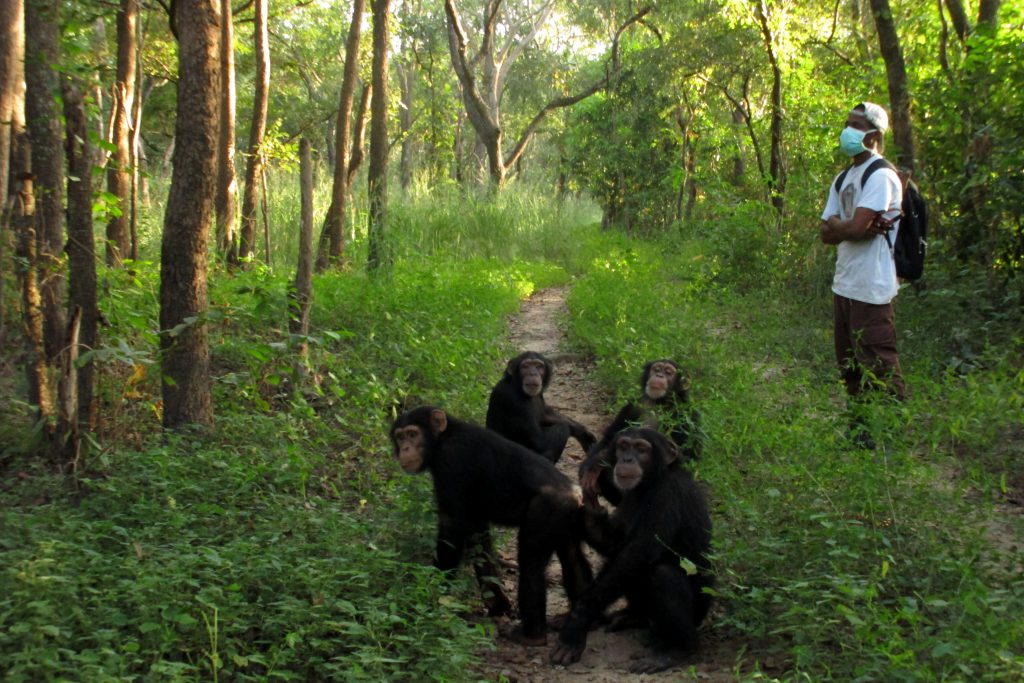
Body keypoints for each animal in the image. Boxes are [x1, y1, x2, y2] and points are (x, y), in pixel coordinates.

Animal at [552, 428, 712, 671]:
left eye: (641, 449)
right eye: (624, 446)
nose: (627, 459)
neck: (650, 483)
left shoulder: (667, 496)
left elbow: (638, 554)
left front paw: (577, 623)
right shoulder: (628, 498)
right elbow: (615, 544)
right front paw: (584, 502)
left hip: (698, 614)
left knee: (663, 575)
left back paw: (677, 651)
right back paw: (631, 617)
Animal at [581, 358, 700, 507]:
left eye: (668, 372)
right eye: (657, 369)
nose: (659, 375)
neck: (659, 404)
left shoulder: (688, 416)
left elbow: (688, 456)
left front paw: (600, 458)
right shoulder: (632, 407)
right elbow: (610, 437)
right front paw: (589, 466)